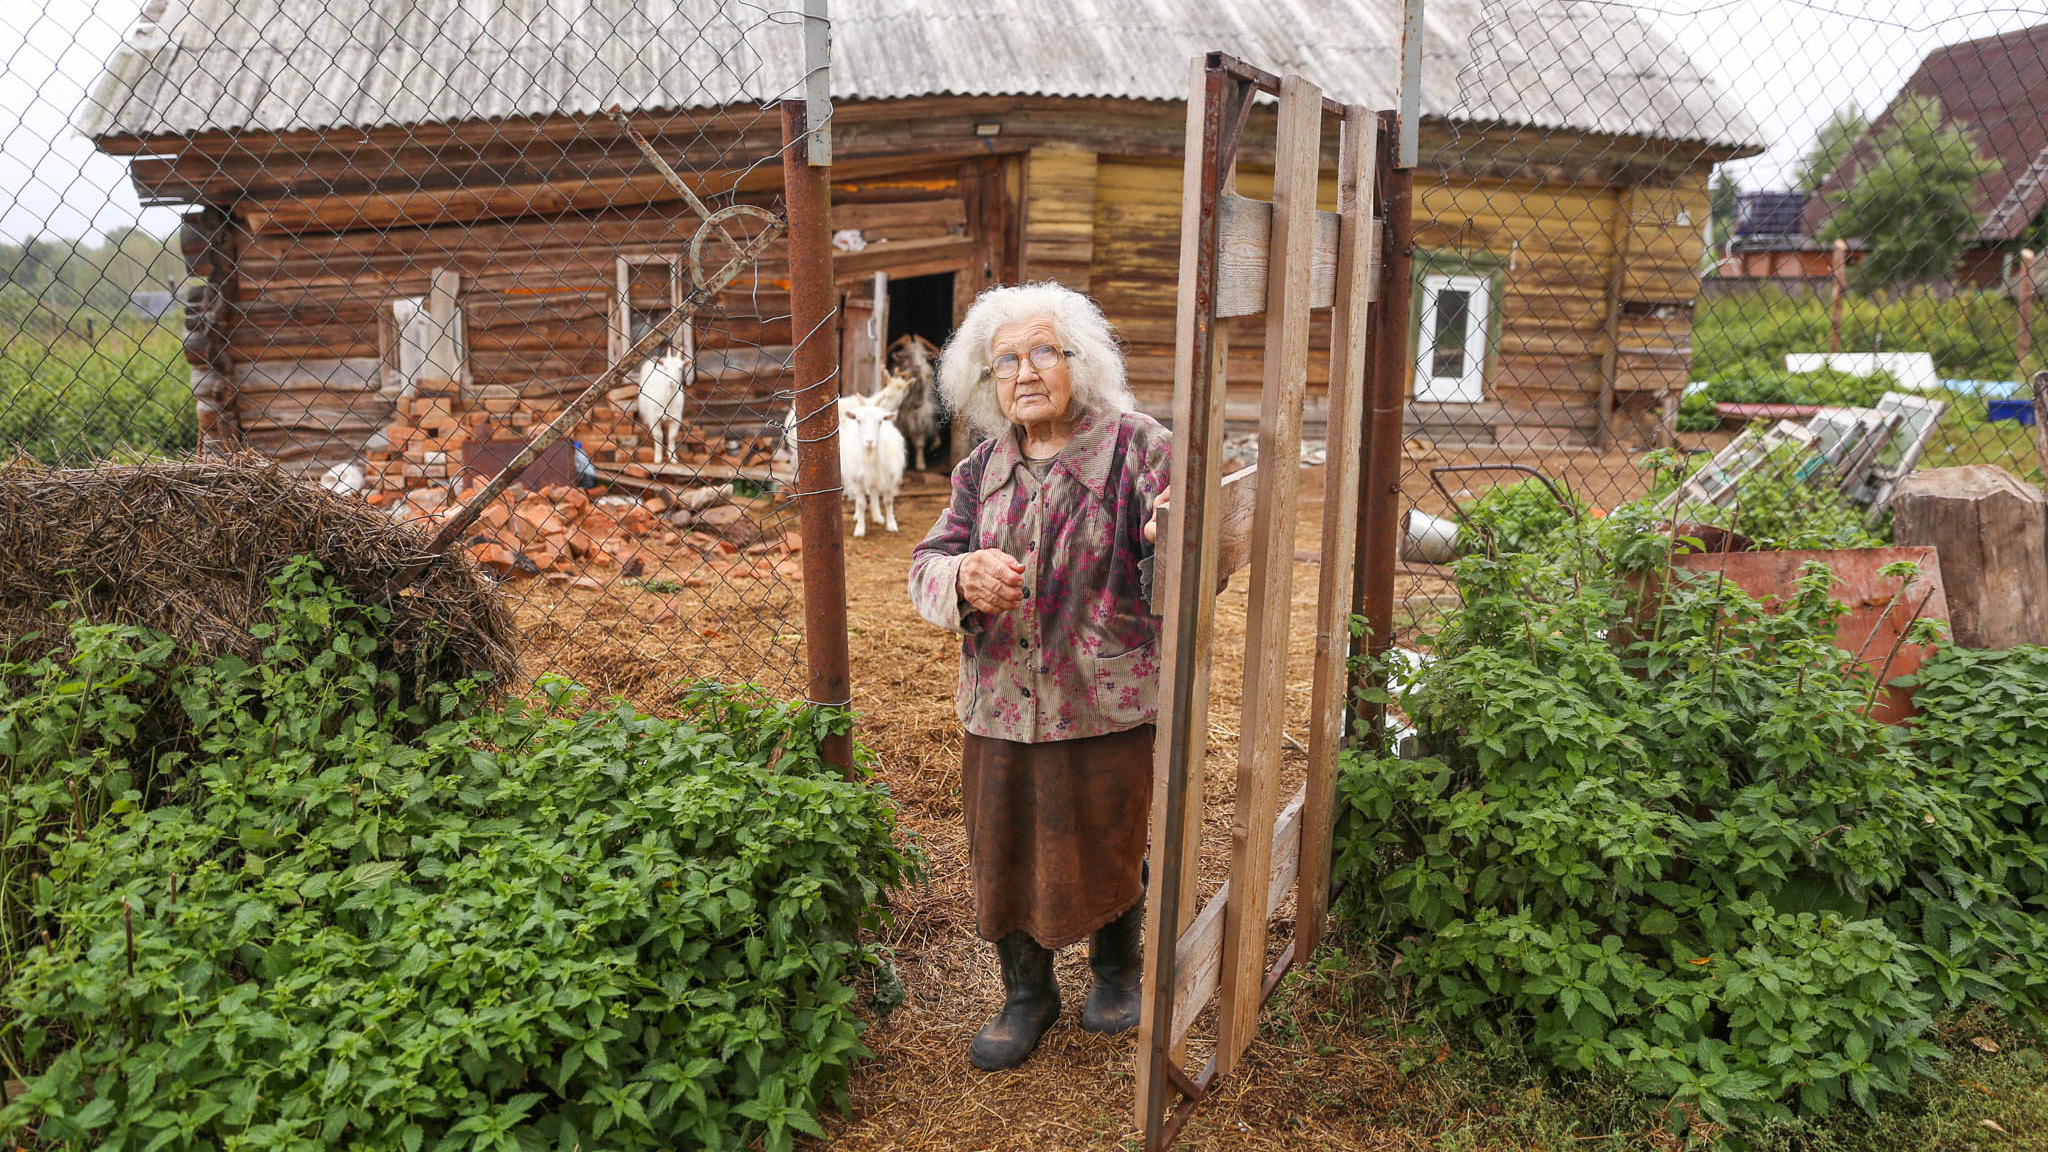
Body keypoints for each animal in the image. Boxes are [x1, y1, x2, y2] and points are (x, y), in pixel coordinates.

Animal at [839, 381, 905, 532]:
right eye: (858, 420)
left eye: (880, 421)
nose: (869, 442)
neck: (870, 456)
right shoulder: (857, 478)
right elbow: (861, 503)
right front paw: (859, 529)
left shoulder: (890, 477)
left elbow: (888, 501)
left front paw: (891, 524)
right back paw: (858, 515)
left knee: (874, 492)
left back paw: (877, 516)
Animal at [880, 332, 942, 471]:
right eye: (906, 356)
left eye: (924, 355)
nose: (918, 367)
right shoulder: (900, 421)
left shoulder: (921, 418)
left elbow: (919, 443)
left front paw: (920, 465)